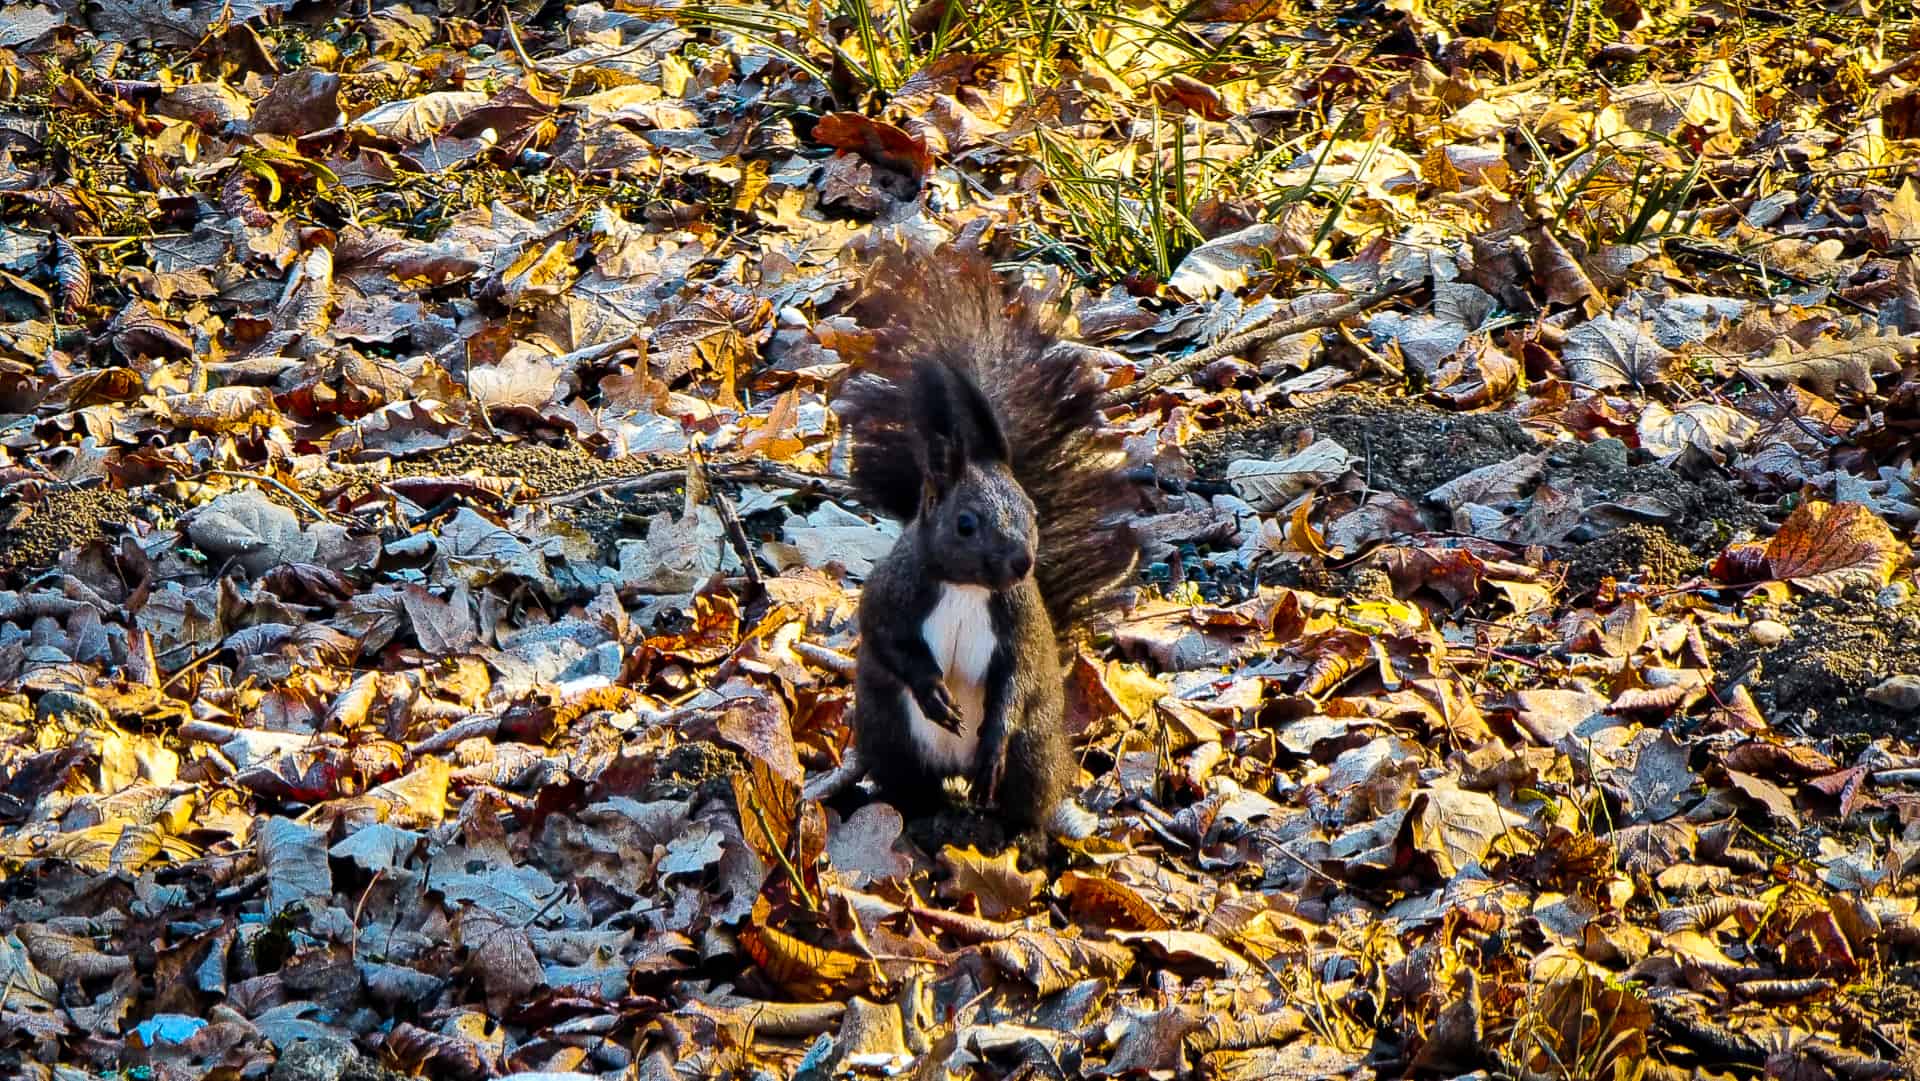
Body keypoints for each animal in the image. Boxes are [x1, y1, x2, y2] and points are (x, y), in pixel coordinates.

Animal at [829, 242, 1136, 837]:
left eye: (1034, 512)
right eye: (966, 524)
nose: (1021, 562)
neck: (964, 587)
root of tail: (956, 771)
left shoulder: (1021, 620)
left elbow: (1016, 678)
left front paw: (992, 735)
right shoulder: (892, 592)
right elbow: (887, 638)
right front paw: (932, 690)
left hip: (1033, 754)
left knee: (1023, 798)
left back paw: (1015, 828)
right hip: (889, 738)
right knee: (911, 790)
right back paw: (917, 819)